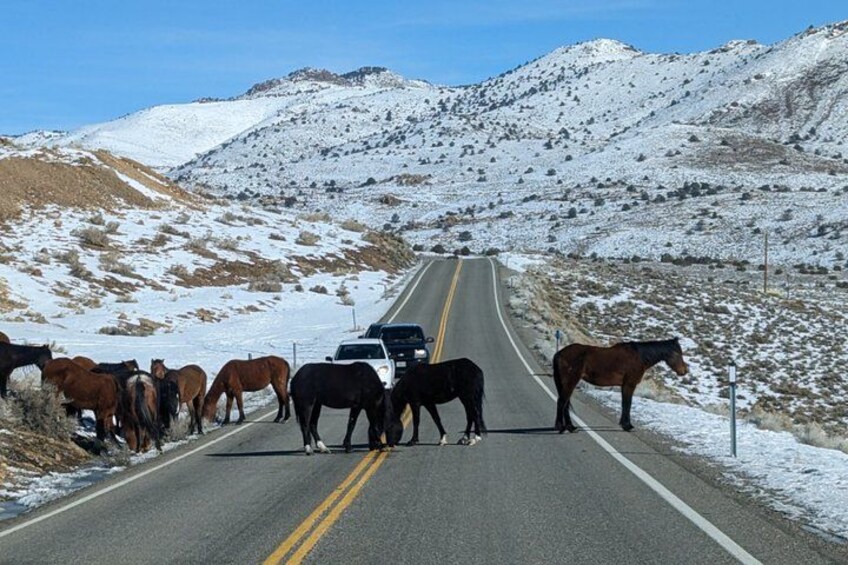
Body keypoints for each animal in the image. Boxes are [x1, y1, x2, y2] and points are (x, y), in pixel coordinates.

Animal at [553, 338, 689, 433]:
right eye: (678, 353)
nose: (684, 371)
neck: (639, 357)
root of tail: (560, 353)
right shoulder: (629, 384)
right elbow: (627, 404)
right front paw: (628, 426)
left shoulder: (624, 386)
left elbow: (625, 404)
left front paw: (624, 424)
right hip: (571, 381)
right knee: (562, 402)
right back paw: (561, 427)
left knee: (565, 403)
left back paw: (570, 427)